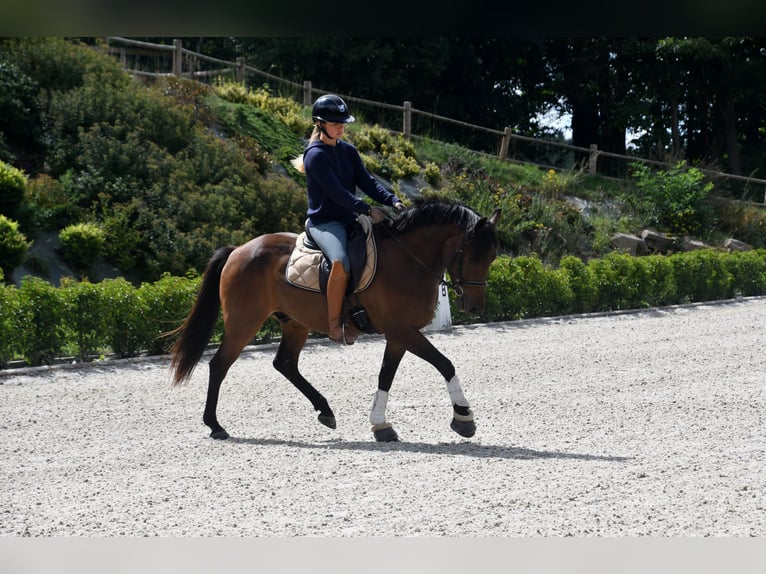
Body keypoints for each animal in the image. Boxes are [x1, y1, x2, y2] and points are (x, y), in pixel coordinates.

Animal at [167, 197, 501, 442]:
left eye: (493, 257)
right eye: (473, 256)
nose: (476, 307)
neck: (408, 259)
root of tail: (239, 250)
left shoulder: (398, 335)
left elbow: (386, 376)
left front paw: (380, 425)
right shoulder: (402, 330)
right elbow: (445, 364)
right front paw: (463, 417)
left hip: (295, 323)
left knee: (285, 364)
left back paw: (325, 411)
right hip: (243, 323)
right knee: (219, 365)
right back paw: (215, 425)